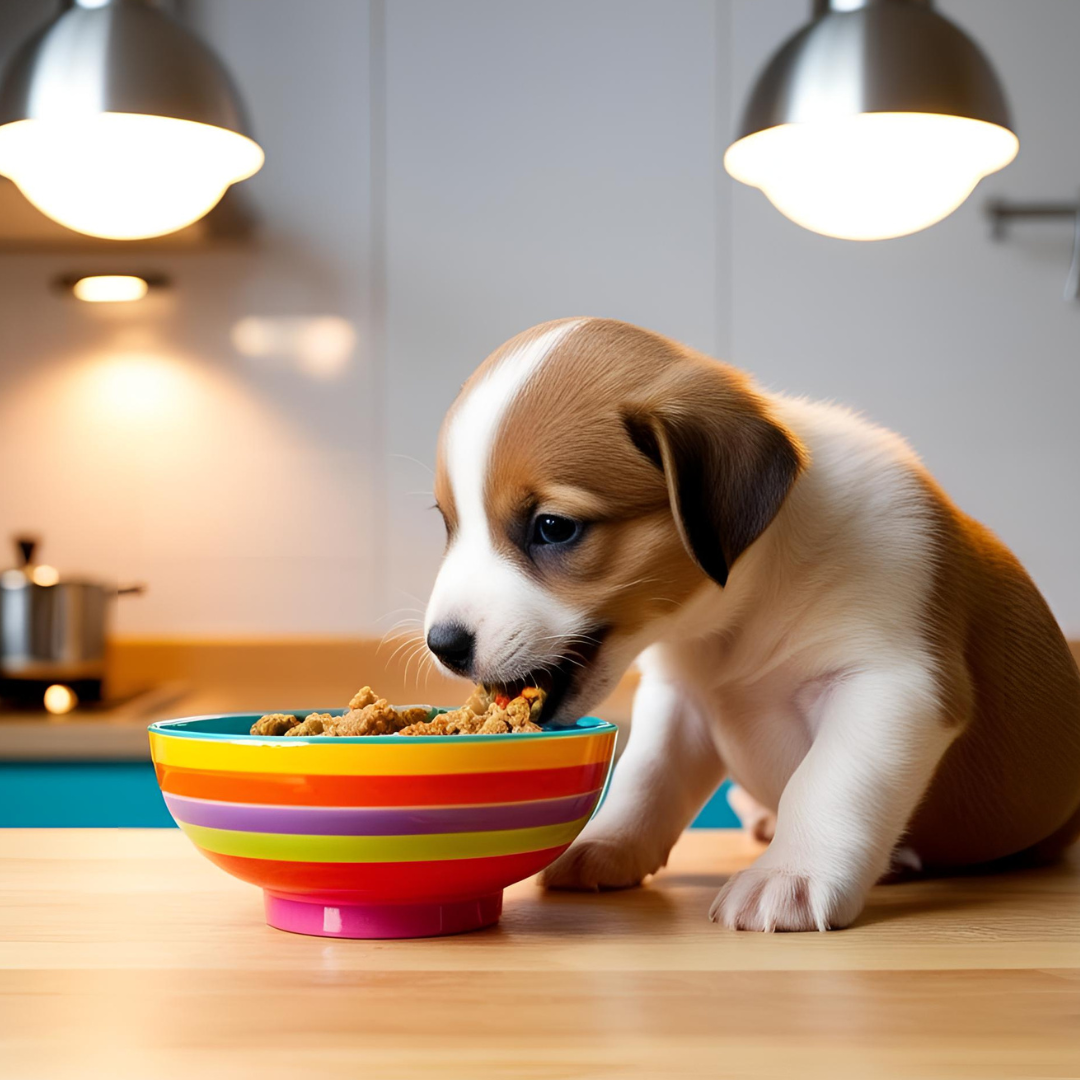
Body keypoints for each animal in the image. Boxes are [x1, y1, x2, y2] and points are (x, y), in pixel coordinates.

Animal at [421, 315, 1080, 933]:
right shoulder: (680, 700)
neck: (738, 615)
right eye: (448, 523)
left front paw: (791, 874)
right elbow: (647, 776)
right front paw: (608, 841)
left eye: (554, 528)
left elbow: (828, 781)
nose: (442, 645)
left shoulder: (889, 684)